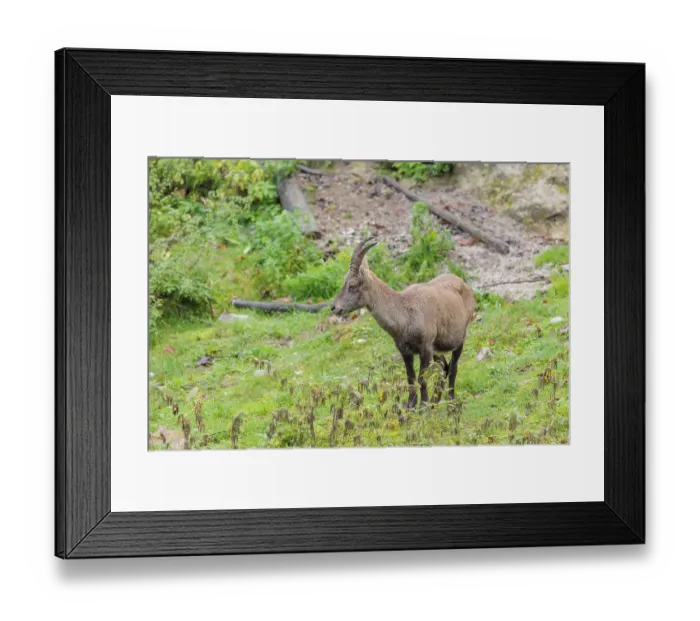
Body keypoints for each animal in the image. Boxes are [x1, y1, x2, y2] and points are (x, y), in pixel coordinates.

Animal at [331, 236, 476, 409]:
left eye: (352, 285)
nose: (334, 307)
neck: (404, 312)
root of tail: (465, 285)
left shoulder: (425, 347)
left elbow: (421, 378)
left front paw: (422, 406)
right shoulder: (405, 351)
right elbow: (410, 378)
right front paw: (411, 405)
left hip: (460, 338)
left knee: (453, 367)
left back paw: (450, 400)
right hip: (438, 349)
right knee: (443, 367)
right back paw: (435, 402)